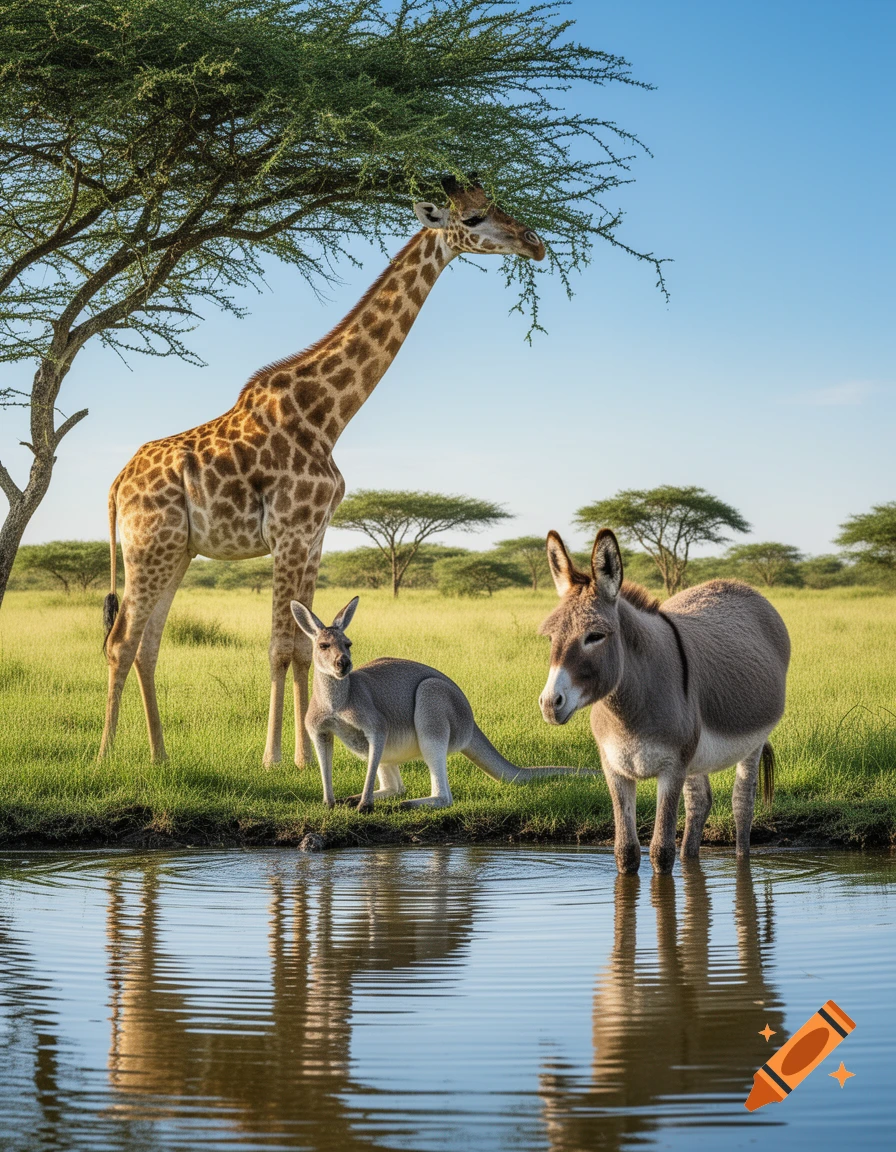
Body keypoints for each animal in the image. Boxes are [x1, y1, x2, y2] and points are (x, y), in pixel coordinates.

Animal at [99, 178, 545, 766]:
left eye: (495, 204)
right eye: (473, 218)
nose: (534, 242)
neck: (326, 414)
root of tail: (116, 485)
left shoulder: (314, 536)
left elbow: (306, 646)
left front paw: (305, 755)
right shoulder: (290, 532)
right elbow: (280, 647)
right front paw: (275, 759)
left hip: (175, 551)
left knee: (147, 645)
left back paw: (159, 756)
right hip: (148, 547)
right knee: (120, 641)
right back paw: (102, 755)